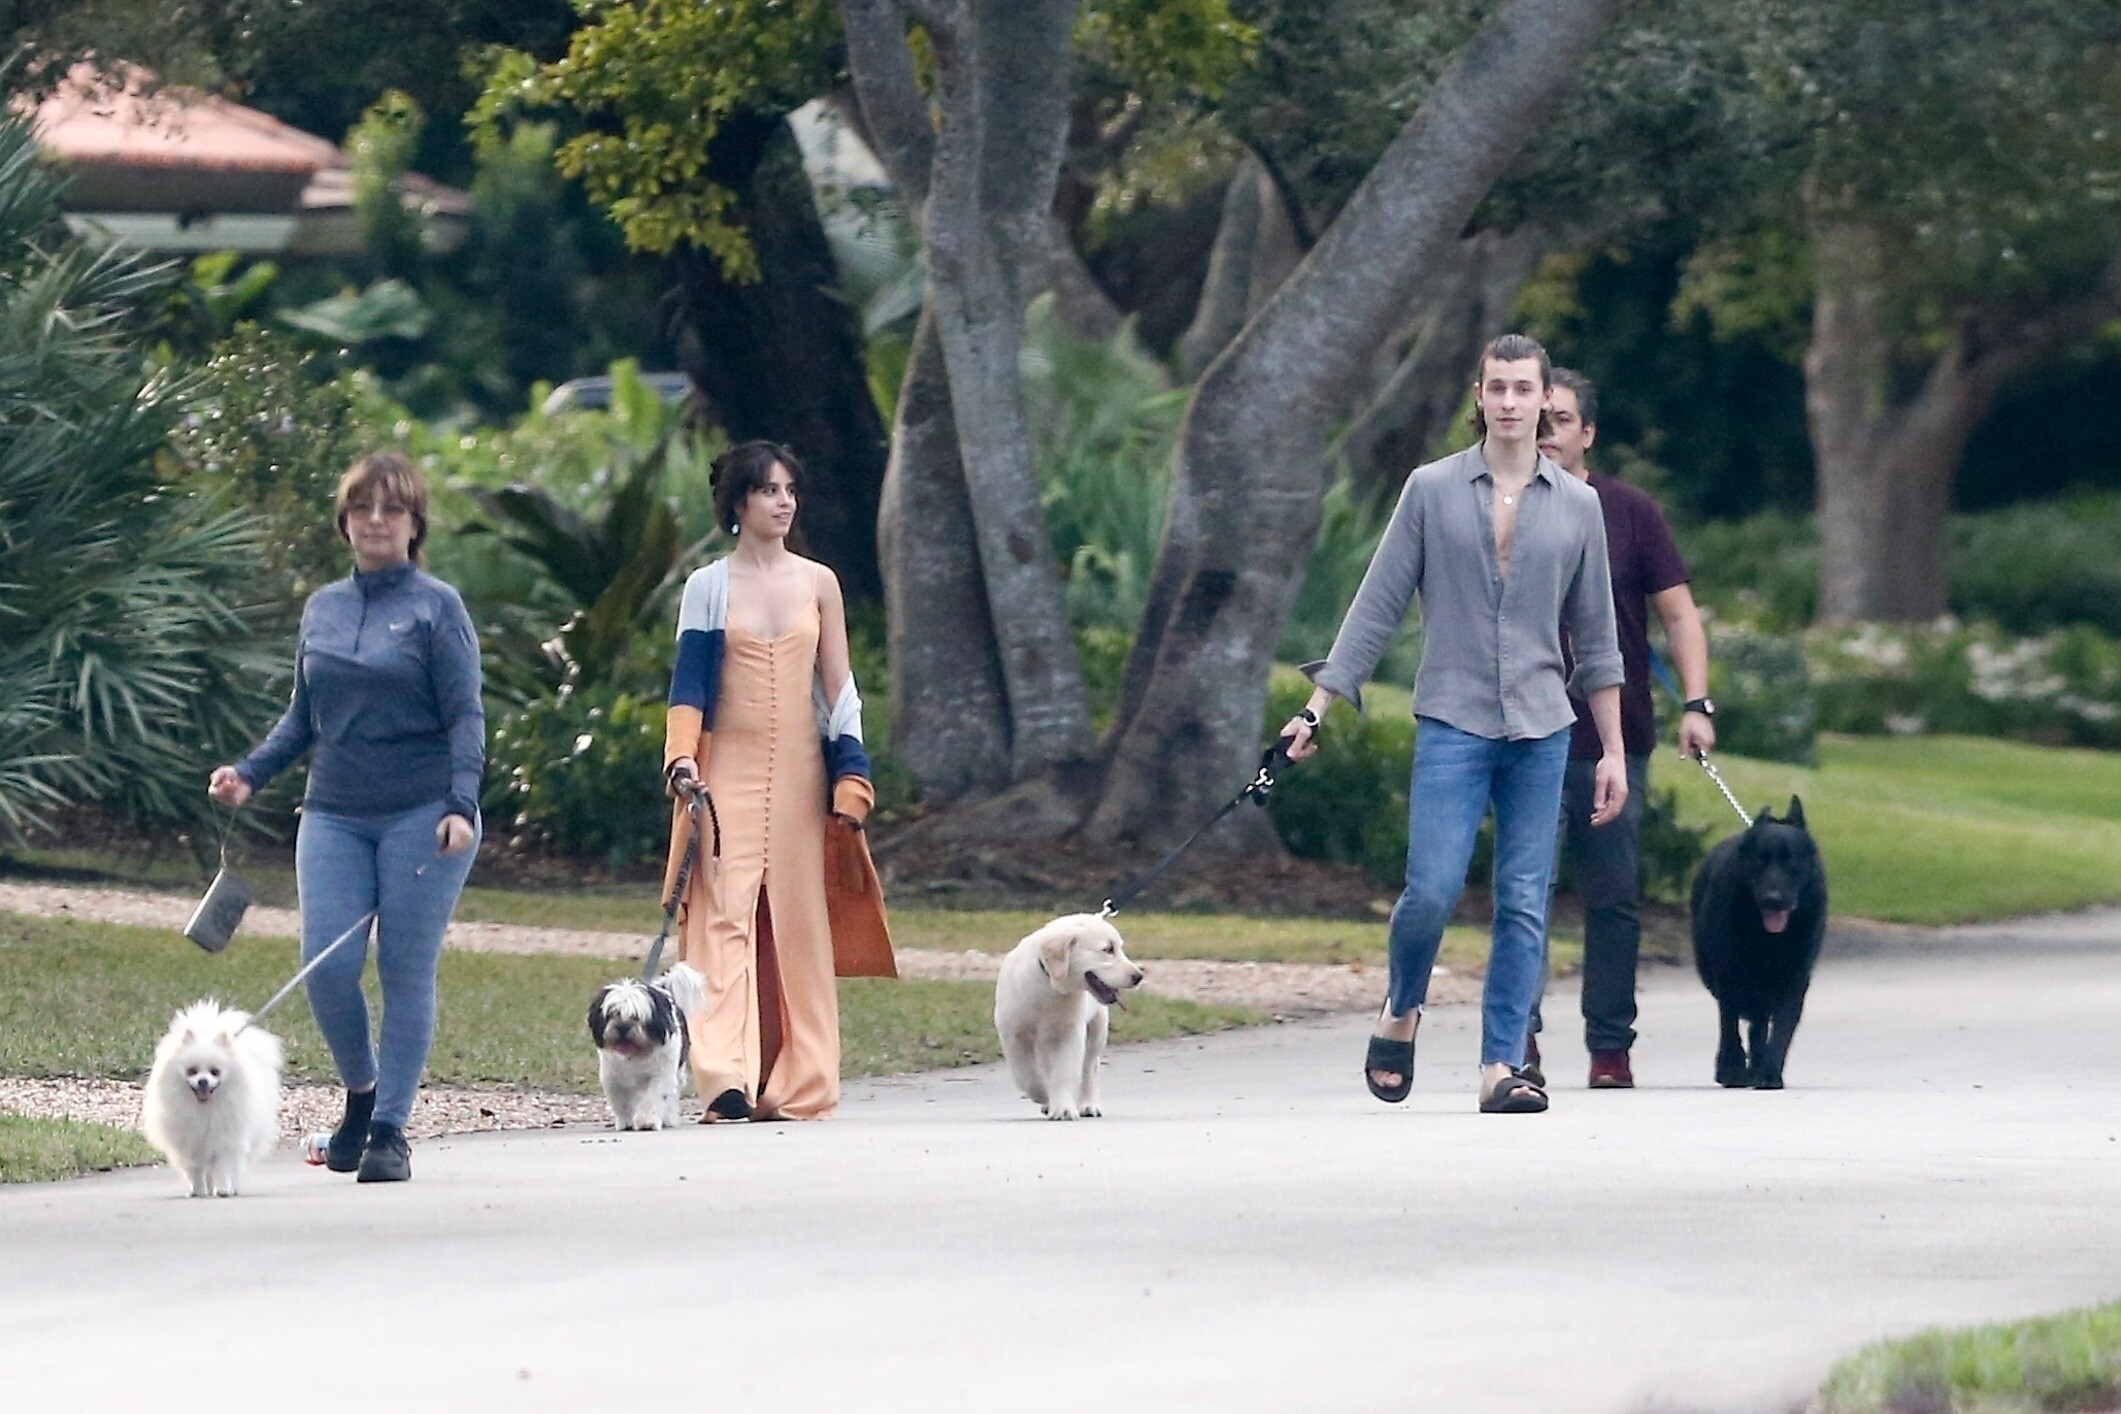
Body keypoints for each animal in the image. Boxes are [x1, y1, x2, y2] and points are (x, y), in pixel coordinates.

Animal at [141, 1000, 284, 1197]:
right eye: (192, 1071)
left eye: (215, 1071)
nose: (203, 1081)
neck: (204, 1109)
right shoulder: (191, 1145)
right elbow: (195, 1171)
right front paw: (198, 1190)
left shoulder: (226, 1141)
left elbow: (223, 1168)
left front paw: (223, 1189)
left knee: (235, 1167)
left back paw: (232, 1188)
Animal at [588, 963, 706, 1130]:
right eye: (612, 1013)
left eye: (637, 1016)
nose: (623, 1027)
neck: (636, 1053)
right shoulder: (612, 1078)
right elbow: (621, 1101)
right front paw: (626, 1122)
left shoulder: (660, 1075)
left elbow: (653, 1098)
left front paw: (647, 1121)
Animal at [994, 914, 1145, 1121]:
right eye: (1108, 949)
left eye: (1119, 948)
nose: (1139, 976)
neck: (1051, 986)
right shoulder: (1013, 1036)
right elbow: (1027, 1078)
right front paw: (1046, 1097)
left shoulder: (1069, 1033)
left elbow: (1064, 1073)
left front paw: (1062, 1108)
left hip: (1097, 1030)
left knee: (1089, 1067)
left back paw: (1088, 1104)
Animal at [1690, 796, 1829, 1090]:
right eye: (1759, 861)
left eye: (1791, 861)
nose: (1773, 900)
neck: (1767, 939)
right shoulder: (1728, 976)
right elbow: (1729, 1023)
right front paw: (1732, 1069)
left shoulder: (1794, 979)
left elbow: (1782, 1030)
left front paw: (1769, 1073)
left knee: (1760, 1024)